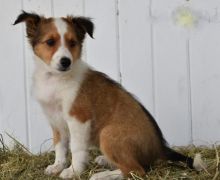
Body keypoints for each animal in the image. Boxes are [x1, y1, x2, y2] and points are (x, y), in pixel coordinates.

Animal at [14, 11, 205, 180]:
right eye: (50, 42)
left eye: (72, 43)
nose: (65, 62)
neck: (56, 79)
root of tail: (160, 148)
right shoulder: (56, 121)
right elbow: (60, 146)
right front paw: (57, 166)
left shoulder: (78, 119)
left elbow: (76, 148)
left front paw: (73, 171)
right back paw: (105, 161)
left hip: (107, 133)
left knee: (135, 170)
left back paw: (102, 175)